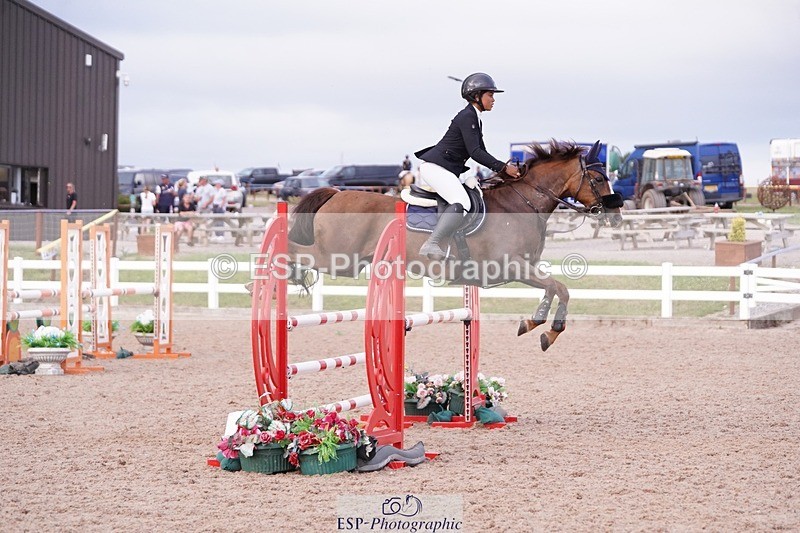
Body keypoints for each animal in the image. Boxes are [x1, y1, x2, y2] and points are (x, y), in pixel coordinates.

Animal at [286, 141, 623, 351]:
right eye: (598, 178)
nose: (616, 215)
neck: (522, 204)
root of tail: (335, 193)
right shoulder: (511, 266)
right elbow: (558, 287)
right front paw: (544, 328)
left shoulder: (523, 268)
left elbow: (556, 289)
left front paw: (537, 325)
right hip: (339, 258)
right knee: (295, 250)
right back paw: (280, 274)